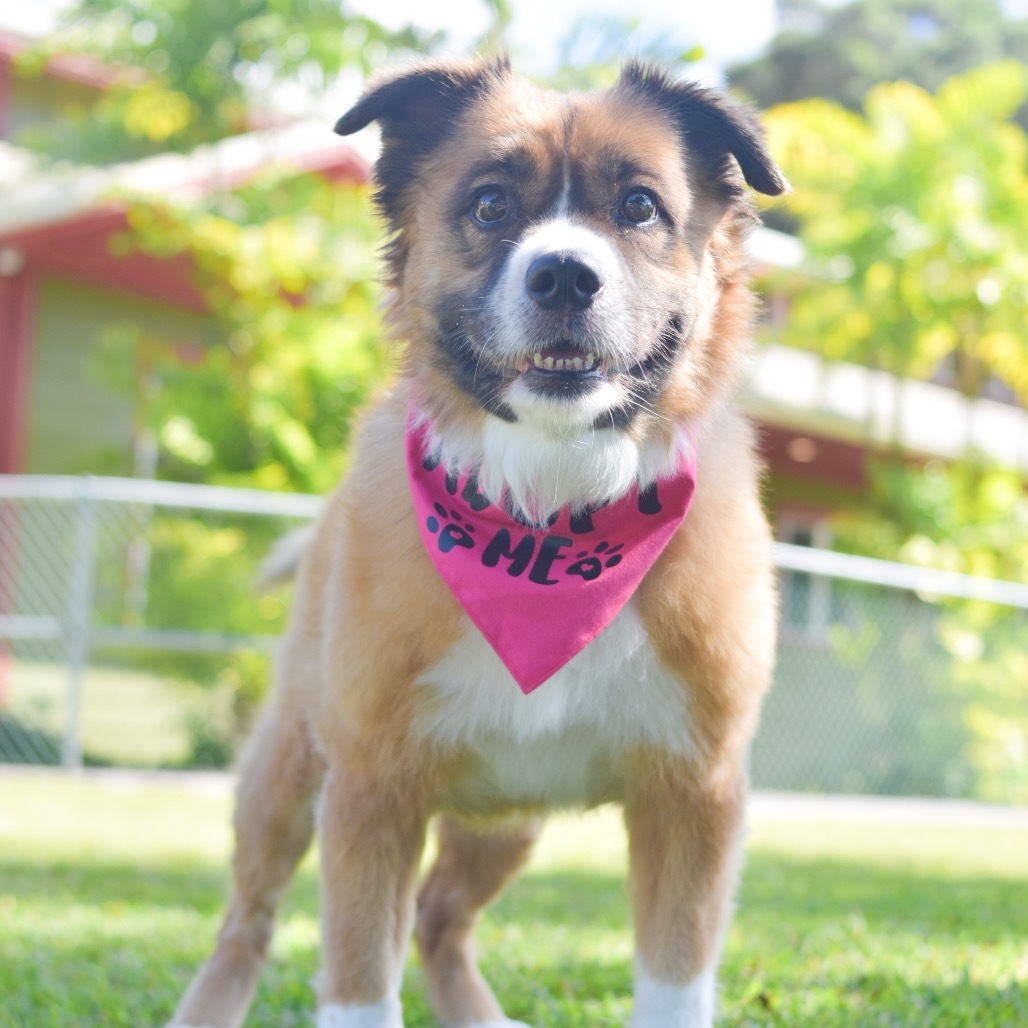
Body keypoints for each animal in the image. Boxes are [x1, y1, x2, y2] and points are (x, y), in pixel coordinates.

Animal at [168, 56, 781, 1028]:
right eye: (491, 204)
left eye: (640, 205)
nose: (565, 276)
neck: (549, 512)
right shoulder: (370, 794)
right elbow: (358, 984)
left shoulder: (695, 797)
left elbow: (674, 984)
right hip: (287, 779)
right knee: (248, 920)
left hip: (509, 815)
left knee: (438, 915)